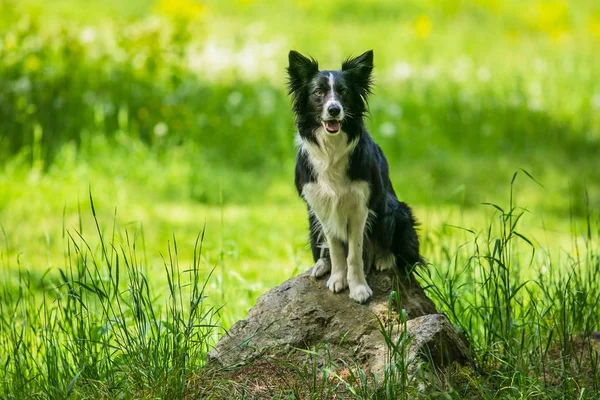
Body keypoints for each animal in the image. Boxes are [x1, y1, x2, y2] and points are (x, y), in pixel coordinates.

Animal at [288, 50, 420, 304]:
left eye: (344, 92)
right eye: (318, 93)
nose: (334, 110)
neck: (332, 149)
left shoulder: (360, 206)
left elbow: (354, 252)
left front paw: (358, 288)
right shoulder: (322, 207)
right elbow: (337, 248)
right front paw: (338, 279)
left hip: (396, 212)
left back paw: (384, 259)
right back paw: (322, 265)